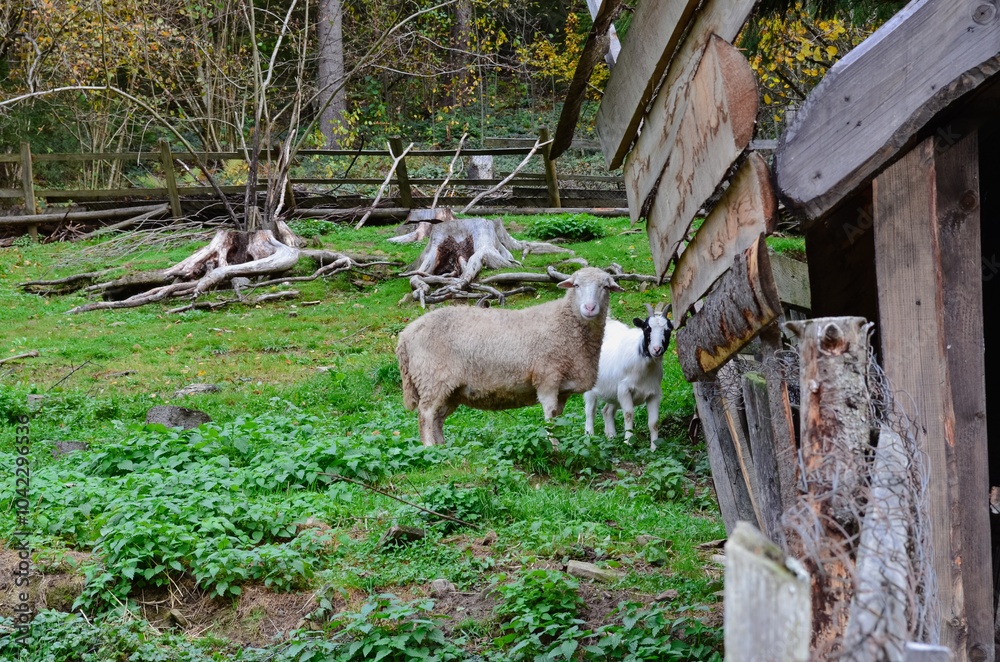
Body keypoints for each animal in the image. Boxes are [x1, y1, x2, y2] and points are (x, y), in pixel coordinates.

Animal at [396, 267, 624, 446]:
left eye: (605, 287)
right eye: (576, 285)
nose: (589, 308)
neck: (565, 322)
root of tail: (405, 336)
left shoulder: (563, 389)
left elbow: (557, 419)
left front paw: (558, 442)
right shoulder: (547, 378)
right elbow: (549, 417)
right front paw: (554, 447)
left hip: (449, 389)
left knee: (437, 418)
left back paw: (443, 448)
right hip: (432, 377)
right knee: (426, 415)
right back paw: (430, 449)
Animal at [584, 303, 673, 451]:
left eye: (668, 330)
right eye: (646, 328)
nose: (656, 349)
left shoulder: (654, 393)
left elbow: (653, 422)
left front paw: (654, 447)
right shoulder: (624, 389)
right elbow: (629, 414)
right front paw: (628, 442)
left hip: (613, 392)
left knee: (607, 411)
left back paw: (611, 436)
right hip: (592, 387)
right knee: (590, 411)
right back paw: (590, 436)